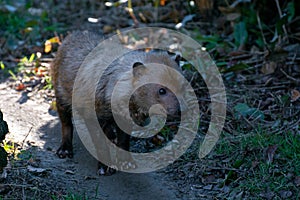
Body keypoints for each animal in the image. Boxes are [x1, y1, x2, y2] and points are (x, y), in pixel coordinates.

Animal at [51, 30, 185, 175]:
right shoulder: (92, 117)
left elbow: (124, 142)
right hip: (61, 99)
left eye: (182, 85)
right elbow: (100, 144)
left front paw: (126, 163)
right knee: (66, 123)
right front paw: (104, 167)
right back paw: (65, 150)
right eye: (161, 90)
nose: (180, 111)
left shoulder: (124, 119)